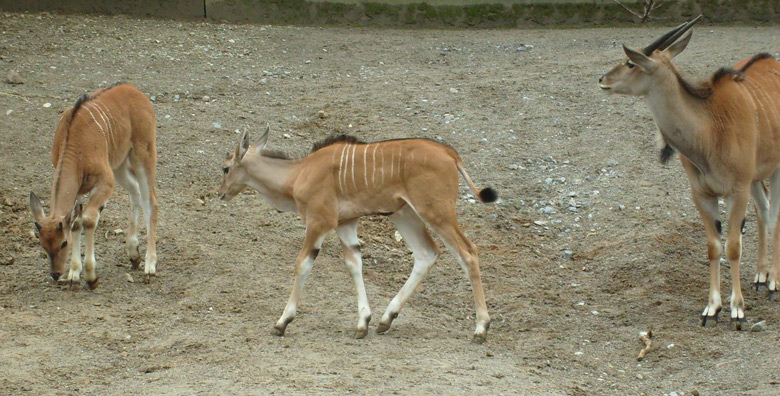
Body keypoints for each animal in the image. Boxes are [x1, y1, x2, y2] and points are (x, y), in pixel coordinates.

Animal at [29, 83, 158, 288]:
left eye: (63, 243)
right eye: (42, 245)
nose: (56, 274)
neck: (74, 145)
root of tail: (133, 89)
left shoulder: (105, 181)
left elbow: (89, 219)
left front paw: (90, 276)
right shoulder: (79, 189)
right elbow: (76, 222)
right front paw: (74, 274)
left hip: (143, 153)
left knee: (150, 201)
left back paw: (150, 266)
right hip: (119, 164)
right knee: (134, 190)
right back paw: (133, 254)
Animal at [218, 125, 500, 342]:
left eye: (225, 168)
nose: (221, 193)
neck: (299, 172)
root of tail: (449, 153)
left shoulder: (320, 221)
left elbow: (302, 264)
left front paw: (282, 322)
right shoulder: (346, 223)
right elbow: (354, 263)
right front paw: (363, 322)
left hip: (436, 214)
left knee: (468, 253)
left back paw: (481, 328)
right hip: (404, 215)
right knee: (426, 254)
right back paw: (387, 319)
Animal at [596, 16, 780, 328]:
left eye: (631, 63)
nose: (602, 80)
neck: (710, 128)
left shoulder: (737, 191)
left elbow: (732, 247)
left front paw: (738, 309)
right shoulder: (702, 194)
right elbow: (714, 247)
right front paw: (712, 308)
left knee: (775, 214)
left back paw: (773, 283)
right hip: (757, 176)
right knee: (765, 209)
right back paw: (760, 275)